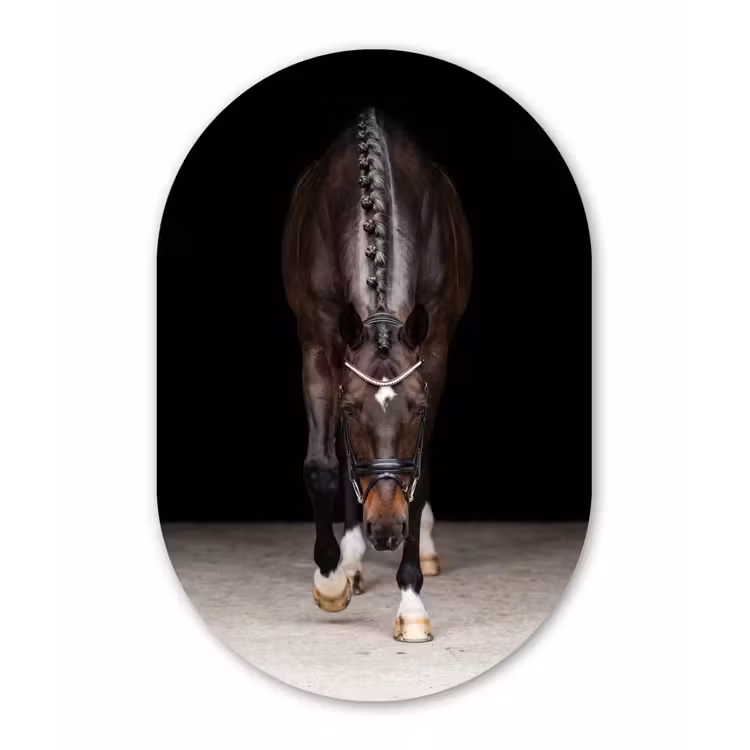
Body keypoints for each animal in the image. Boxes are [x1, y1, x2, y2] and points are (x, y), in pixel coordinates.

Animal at [282, 107, 472, 642]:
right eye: (350, 410)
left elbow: (419, 475)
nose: (385, 529)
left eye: (418, 409)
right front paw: (330, 580)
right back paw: (350, 561)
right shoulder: (317, 344)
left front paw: (411, 603)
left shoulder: (434, 353)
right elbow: (322, 465)